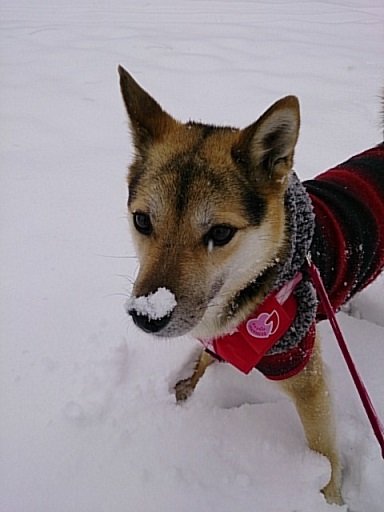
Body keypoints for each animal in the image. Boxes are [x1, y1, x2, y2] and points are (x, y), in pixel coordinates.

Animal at [118, 64, 384, 504]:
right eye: (142, 221)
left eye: (221, 233)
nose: (146, 316)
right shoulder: (219, 336)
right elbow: (206, 357)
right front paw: (189, 383)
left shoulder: (302, 368)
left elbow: (325, 453)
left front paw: (330, 499)